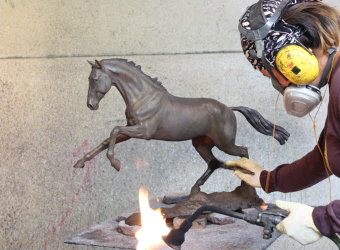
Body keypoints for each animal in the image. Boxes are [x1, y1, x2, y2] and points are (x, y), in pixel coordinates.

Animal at [74, 58, 290, 190]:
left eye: (94, 79)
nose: (90, 105)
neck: (143, 97)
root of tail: (229, 109)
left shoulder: (144, 132)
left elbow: (114, 129)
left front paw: (115, 163)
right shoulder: (130, 131)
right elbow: (107, 139)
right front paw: (80, 162)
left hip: (225, 143)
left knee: (242, 152)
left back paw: (245, 182)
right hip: (201, 143)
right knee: (214, 163)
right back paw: (194, 189)